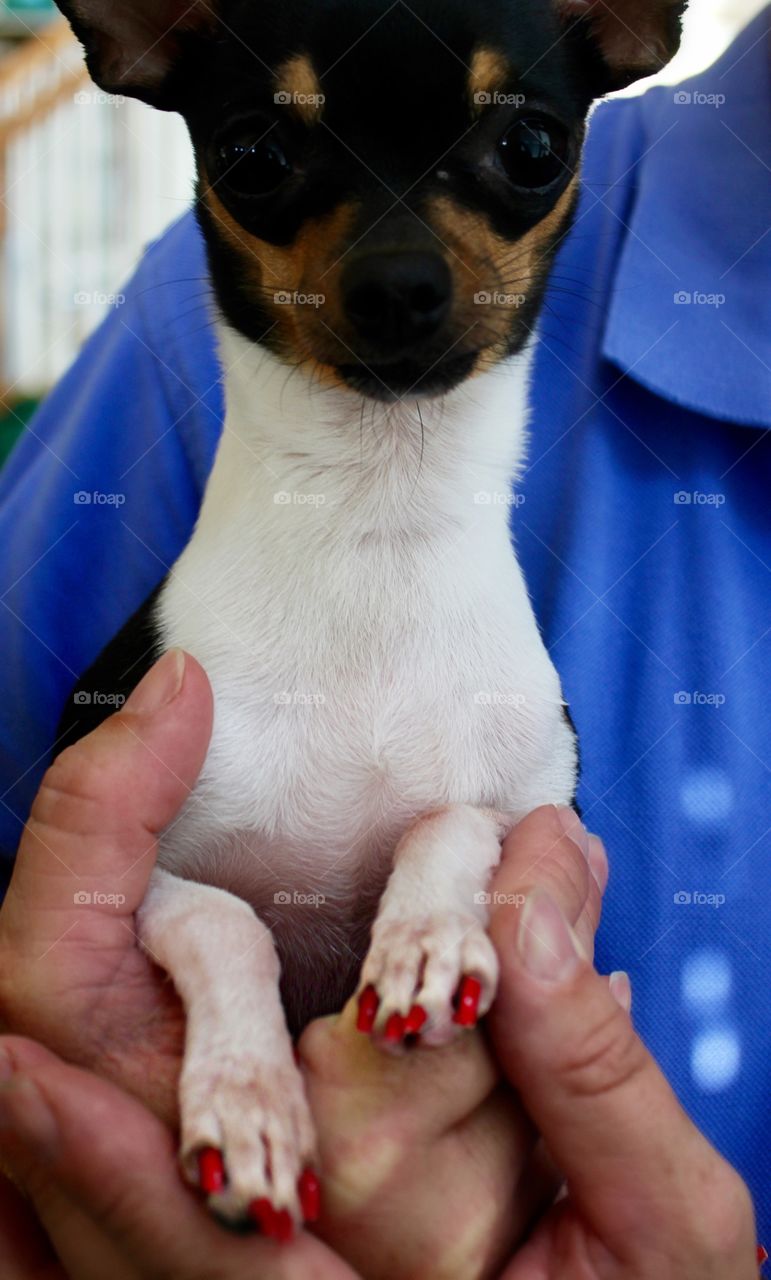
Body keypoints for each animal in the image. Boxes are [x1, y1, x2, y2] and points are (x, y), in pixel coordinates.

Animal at [56, 0, 686, 1239]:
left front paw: (428, 939)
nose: (398, 284)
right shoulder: (141, 874)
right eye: (252, 155)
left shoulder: (544, 808)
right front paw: (249, 1101)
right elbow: (228, 920)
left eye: (532, 147)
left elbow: (458, 819)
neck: (372, 518)